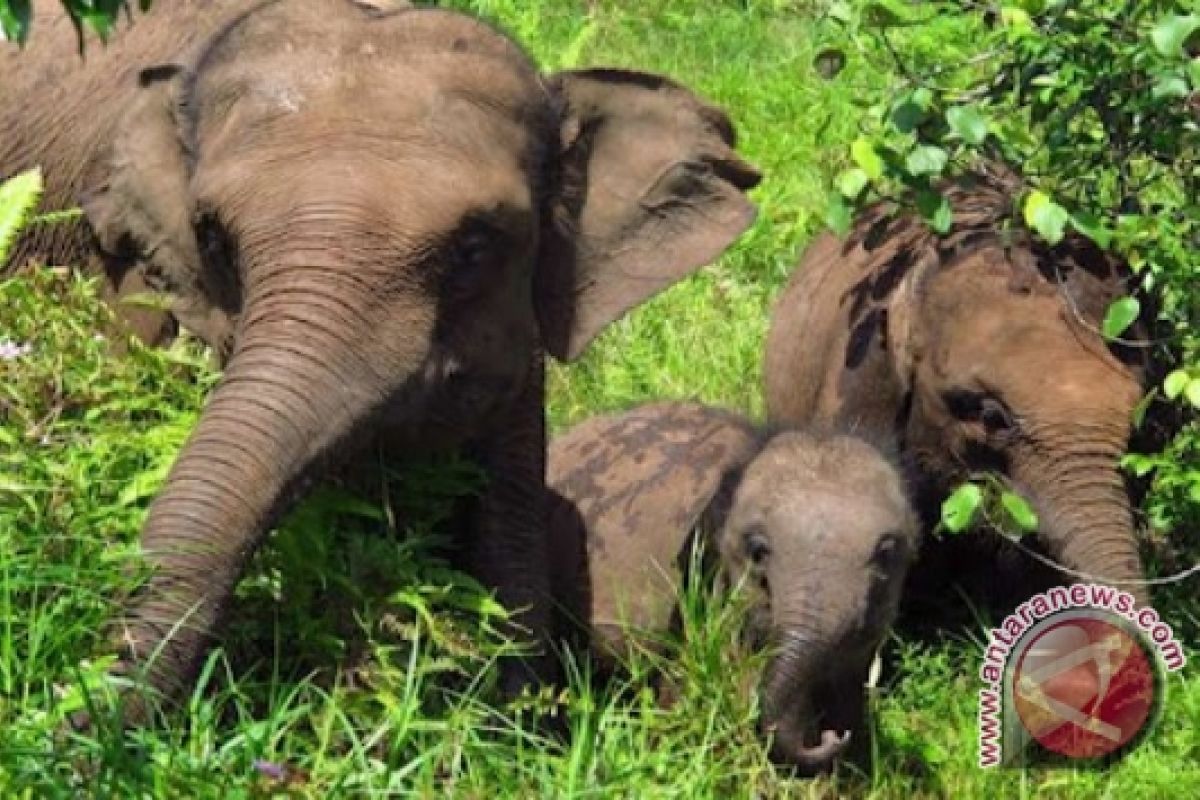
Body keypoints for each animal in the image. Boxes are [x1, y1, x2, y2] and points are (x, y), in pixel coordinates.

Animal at [2, 0, 758, 724]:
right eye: (212, 237)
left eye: (476, 247)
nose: (76, 714)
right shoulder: (132, 276)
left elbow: (506, 530)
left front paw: (511, 720)